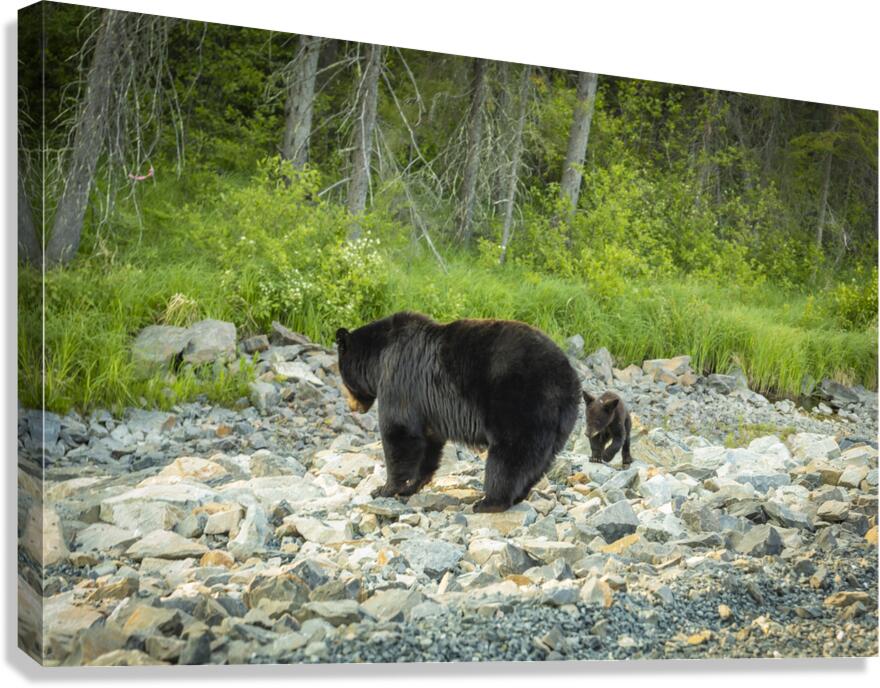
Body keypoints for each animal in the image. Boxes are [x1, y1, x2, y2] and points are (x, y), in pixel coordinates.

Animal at [335, 311, 582, 512]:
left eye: (343, 378)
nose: (352, 407)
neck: (378, 357)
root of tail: (567, 378)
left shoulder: (398, 381)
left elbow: (399, 433)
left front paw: (384, 489)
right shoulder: (427, 409)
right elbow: (428, 445)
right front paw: (411, 486)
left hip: (520, 402)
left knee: (510, 454)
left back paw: (489, 502)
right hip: (559, 422)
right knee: (538, 461)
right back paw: (517, 496)